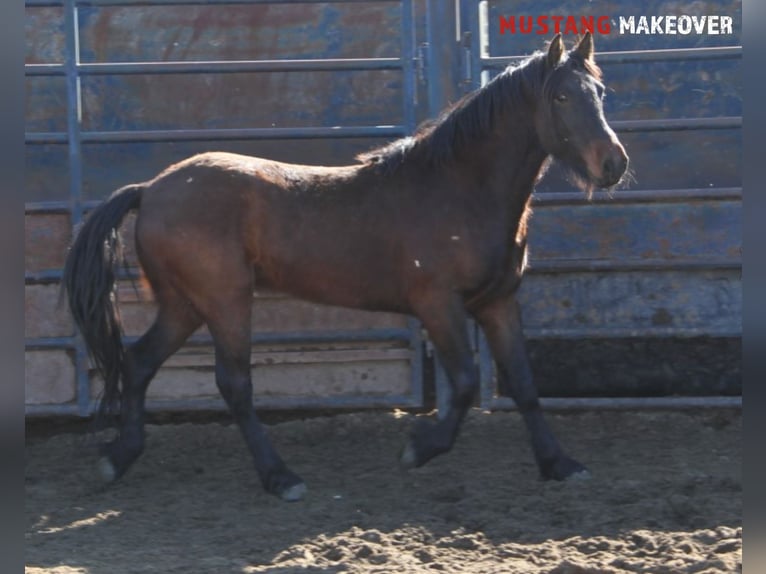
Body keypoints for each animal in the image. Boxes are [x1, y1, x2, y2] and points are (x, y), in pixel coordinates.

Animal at [64, 33, 632, 502]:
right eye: (561, 98)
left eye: (600, 94)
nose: (613, 164)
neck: (459, 190)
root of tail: (152, 189)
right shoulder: (437, 304)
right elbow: (468, 382)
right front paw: (418, 449)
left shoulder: (497, 302)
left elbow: (525, 384)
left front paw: (560, 464)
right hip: (225, 301)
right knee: (234, 384)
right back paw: (281, 478)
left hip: (184, 305)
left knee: (138, 362)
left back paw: (118, 459)